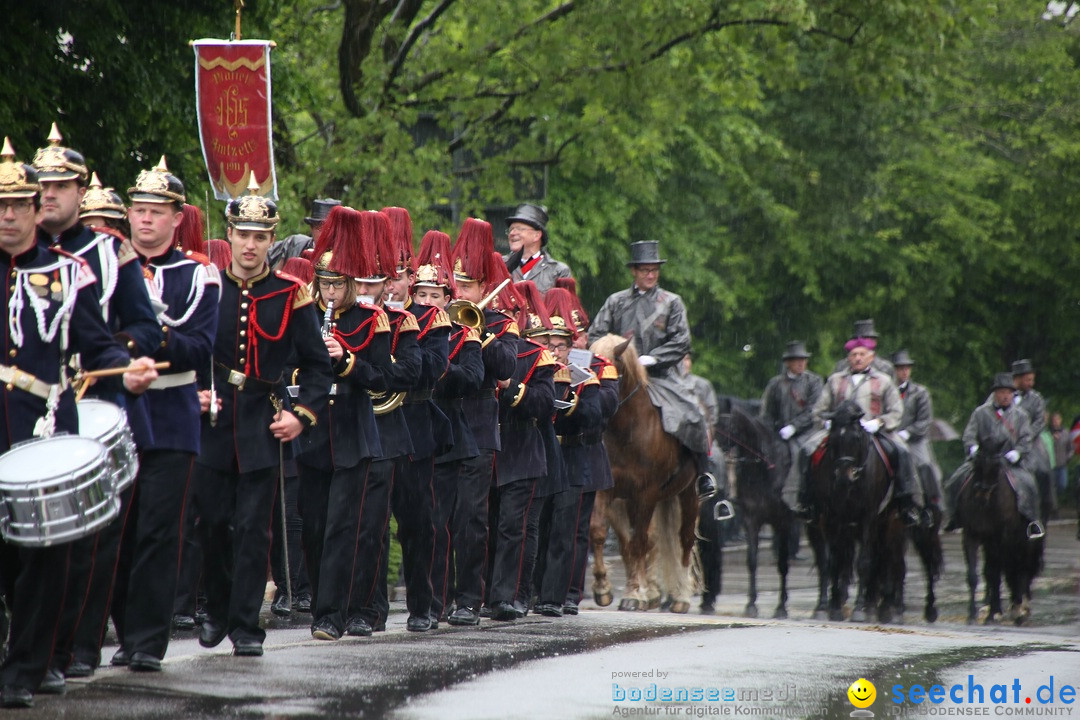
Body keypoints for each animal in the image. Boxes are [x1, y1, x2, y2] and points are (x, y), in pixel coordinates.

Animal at [587, 334, 695, 613]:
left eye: (610, 373)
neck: (626, 432)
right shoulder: (606, 490)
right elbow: (599, 532)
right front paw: (602, 588)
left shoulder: (646, 494)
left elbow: (638, 543)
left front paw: (635, 595)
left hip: (688, 492)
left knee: (684, 538)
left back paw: (681, 596)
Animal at [717, 405, 794, 621]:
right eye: (717, 432)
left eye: (733, 431)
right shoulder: (751, 520)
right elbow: (751, 561)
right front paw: (751, 605)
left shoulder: (782, 521)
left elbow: (782, 563)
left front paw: (781, 608)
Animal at [807, 403, 907, 621]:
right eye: (833, 439)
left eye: (856, 438)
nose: (844, 478)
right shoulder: (832, 518)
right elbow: (832, 561)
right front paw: (831, 607)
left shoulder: (868, 518)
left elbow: (863, 562)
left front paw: (859, 609)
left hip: (892, 521)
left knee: (890, 558)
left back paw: (886, 608)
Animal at [963, 440, 1045, 626]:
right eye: (976, 463)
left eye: (996, 466)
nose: (980, 496)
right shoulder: (972, 535)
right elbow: (975, 575)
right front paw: (972, 614)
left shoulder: (1000, 538)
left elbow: (995, 573)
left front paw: (994, 613)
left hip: (1021, 543)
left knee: (1020, 568)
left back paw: (1019, 608)